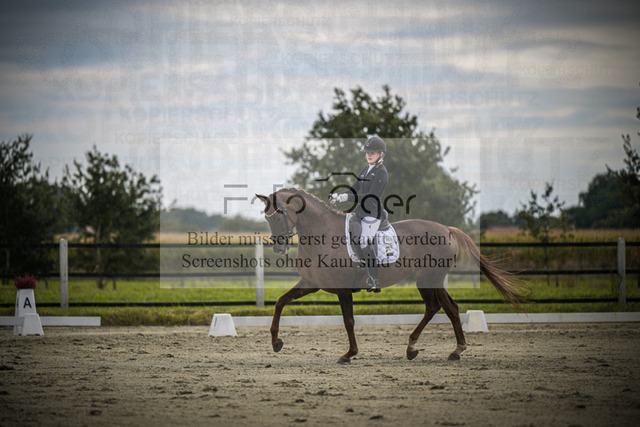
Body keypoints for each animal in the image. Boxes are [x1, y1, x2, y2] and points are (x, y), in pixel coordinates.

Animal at [256, 188, 527, 363]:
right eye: (266, 217)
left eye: (278, 214)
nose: (279, 247)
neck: (321, 233)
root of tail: (447, 229)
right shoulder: (311, 283)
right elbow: (280, 302)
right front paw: (276, 342)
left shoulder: (342, 290)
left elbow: (348, 321)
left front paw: (349, 354)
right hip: (431, 280)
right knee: (448, 307)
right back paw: (444, 350)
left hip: (428, 279)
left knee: (438, 307)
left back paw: (429, 348)